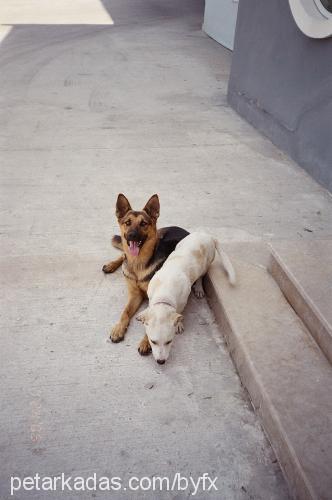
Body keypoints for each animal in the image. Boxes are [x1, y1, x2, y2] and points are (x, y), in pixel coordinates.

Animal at [102, 194, 188, 356]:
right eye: (128, 223)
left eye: (143, 223)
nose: (132, 235)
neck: (138, 264)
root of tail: (183, 230)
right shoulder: (135, 295)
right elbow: (125, 312)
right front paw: (118, 329)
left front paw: (145, 342)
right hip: (160, 234)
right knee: (123, 255)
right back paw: (111, 265)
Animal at [136, 232, 235, 366]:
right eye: (153, 341)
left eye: (169, 341)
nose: (161, 362)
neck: (164, 292)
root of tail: (206, 234)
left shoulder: (182, 301)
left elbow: (179, 312)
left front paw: (179, 324)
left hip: (207, 263)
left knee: (201, 275)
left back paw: (199, 288)